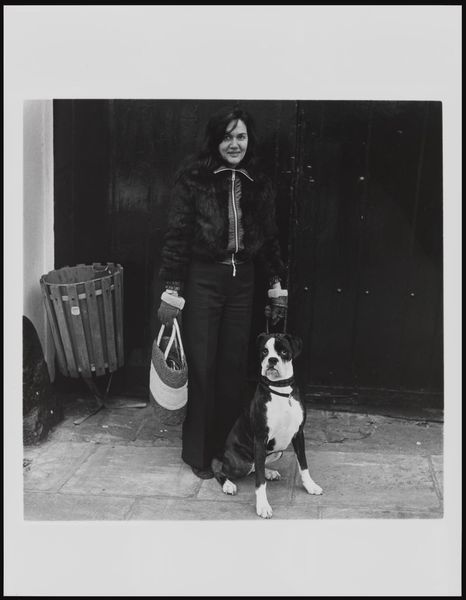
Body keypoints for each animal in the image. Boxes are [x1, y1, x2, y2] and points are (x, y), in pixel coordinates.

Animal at [211, 332, 323, 518]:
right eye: (264, 351)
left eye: (283, 351)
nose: (272, 360)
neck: (281, 390)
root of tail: (223, 453)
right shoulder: (260, 438)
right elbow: (260, 482)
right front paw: (263, 506)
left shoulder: (298, 434)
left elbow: (303, 464)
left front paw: (310, 485)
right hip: (240, 464)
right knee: (221, 470)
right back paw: (228, 484)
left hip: (278, 451)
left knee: (257, 466)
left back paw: (269, 472)